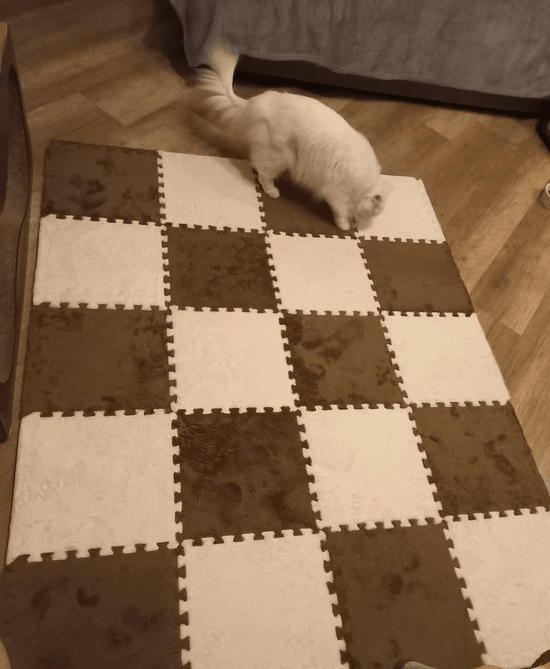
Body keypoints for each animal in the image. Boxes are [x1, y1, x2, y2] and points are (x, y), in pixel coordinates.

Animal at [192, 47, 388, 231]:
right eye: (372, 213)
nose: (366, 224)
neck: (366, 184)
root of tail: (254, 102)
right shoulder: (337, 193)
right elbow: (341, 212)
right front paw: (345, 225)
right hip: (279, 157)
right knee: (263, 174)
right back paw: (272, 192)